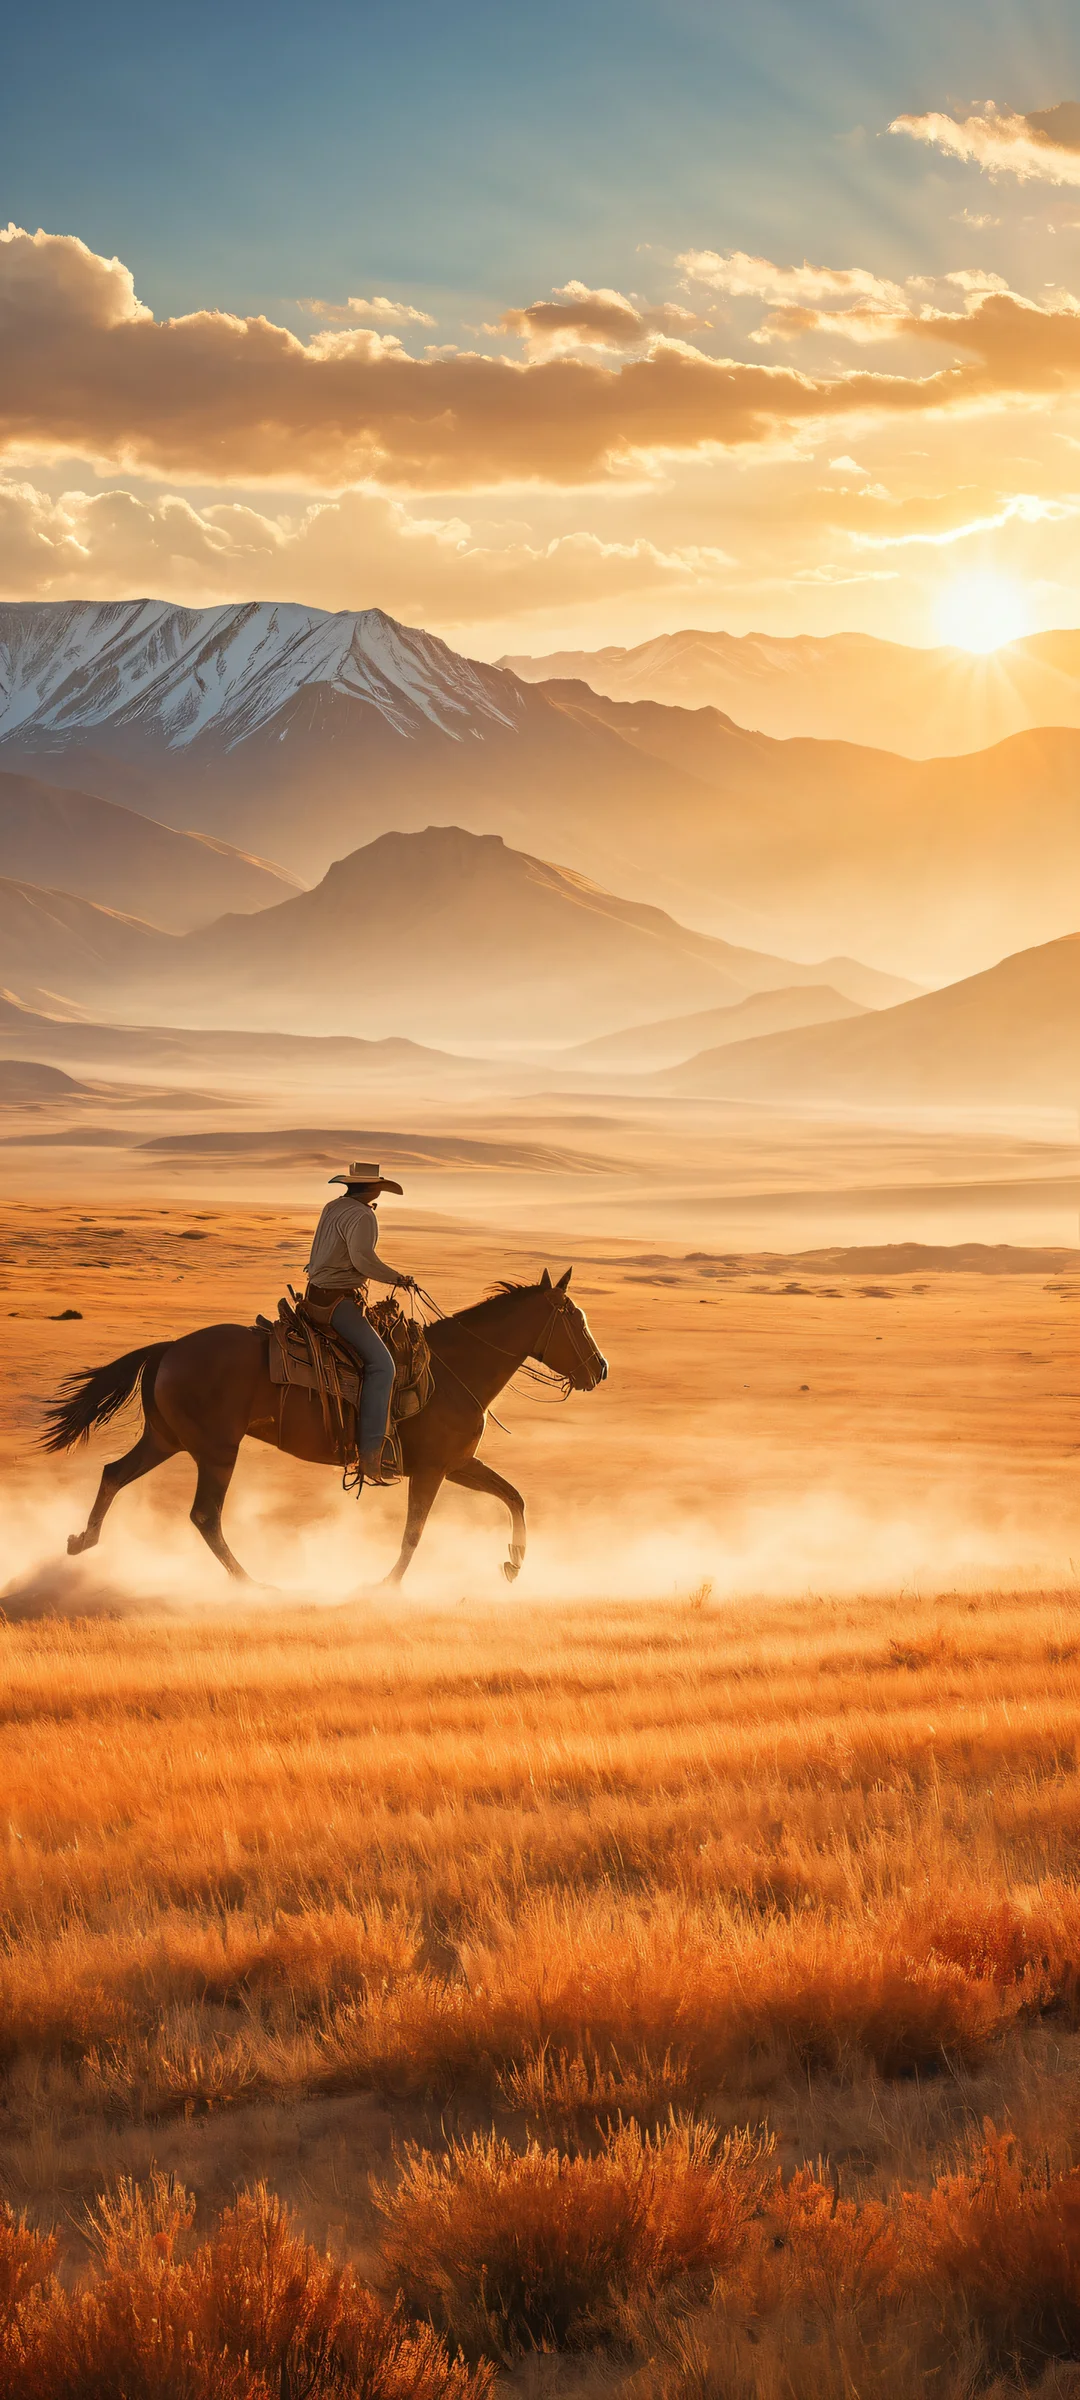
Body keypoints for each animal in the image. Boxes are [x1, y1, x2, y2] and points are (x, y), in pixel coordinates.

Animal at [42, 1269, 608, 1587]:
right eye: (576, 1319)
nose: (599, 1369)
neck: (454, 1369)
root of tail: (169, 1349)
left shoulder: (458, 1464)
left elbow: (514, 1496)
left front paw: (513, 1563)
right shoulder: (432, 1469)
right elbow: (414, 1533)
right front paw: (385, 1587)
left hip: (167, 1439)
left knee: (114, 1474)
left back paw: (81, 1541)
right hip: (216, 1451)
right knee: (205, 1516)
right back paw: (252, 1585)